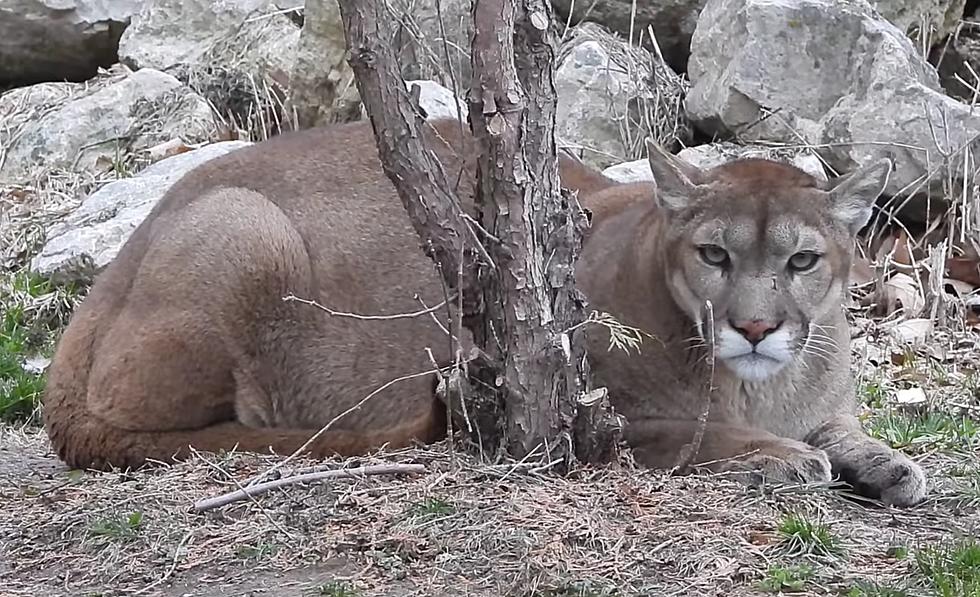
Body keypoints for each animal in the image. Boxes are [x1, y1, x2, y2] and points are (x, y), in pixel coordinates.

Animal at [40, 117, 928, 508]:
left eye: (802, 261)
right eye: (715, 255)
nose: (754, 326)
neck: (763, 387)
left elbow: (849, 432)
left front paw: (888, 463)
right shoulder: (589, 417)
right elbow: (694, 434)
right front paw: (778, 455)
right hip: (245, 228)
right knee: (154, 424)